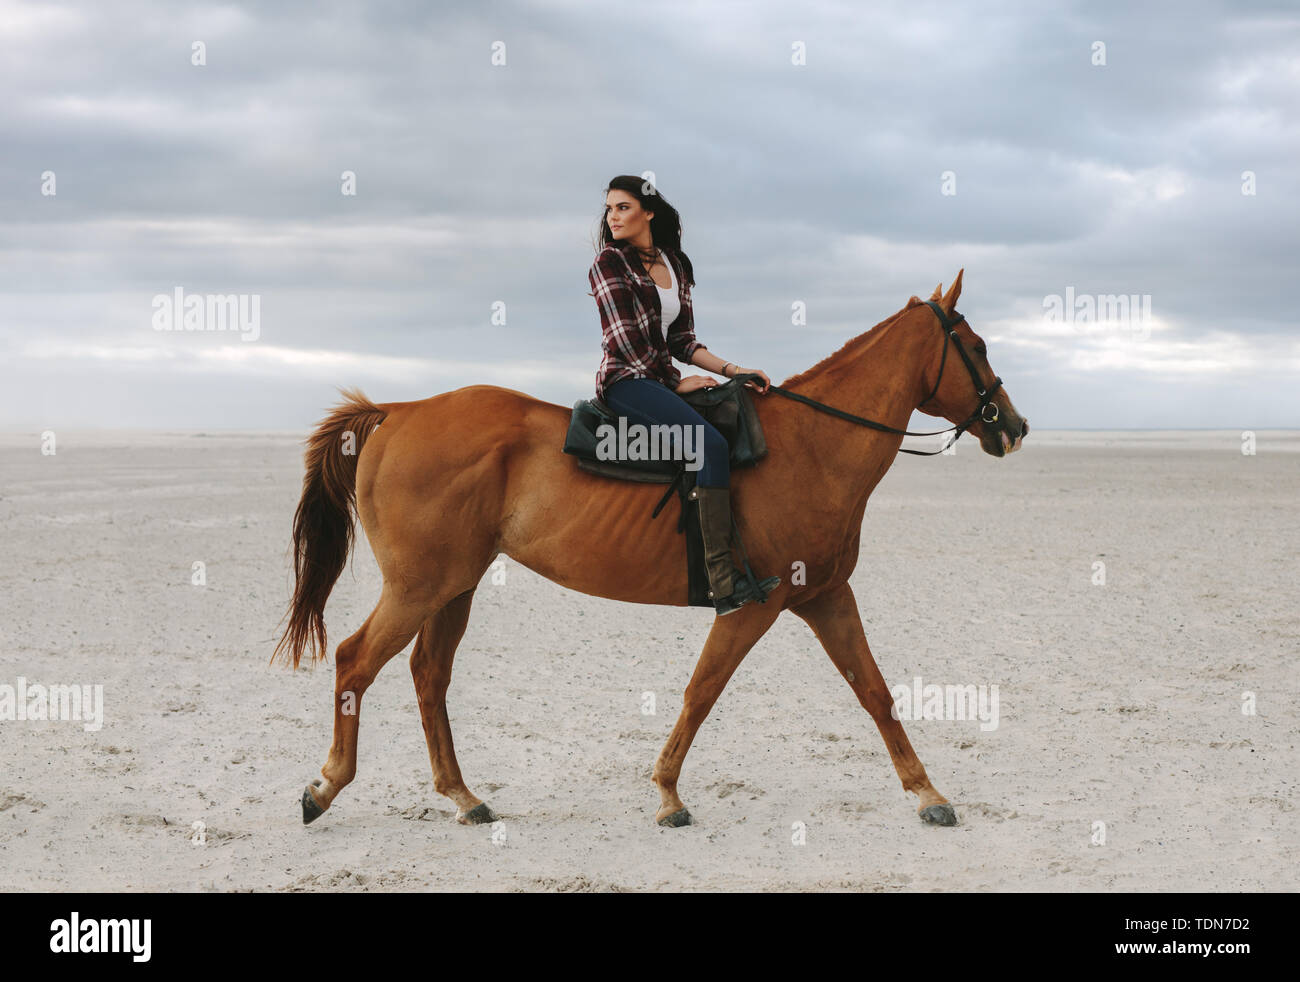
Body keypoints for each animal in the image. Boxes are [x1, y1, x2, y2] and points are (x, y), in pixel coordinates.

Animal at [274, 269, 1024, 827]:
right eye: (979, 345)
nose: (1013, 426)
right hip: (418, 587)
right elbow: (702, 691)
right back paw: (325, 787)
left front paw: (928, 793)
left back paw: (464, 797)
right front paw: (667, 794)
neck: (813, 447)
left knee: (429, 676)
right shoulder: (752, 608)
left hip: (453, 586)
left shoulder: (826, 597)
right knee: (355, 661)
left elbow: (874, 691)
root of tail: (398, 412)